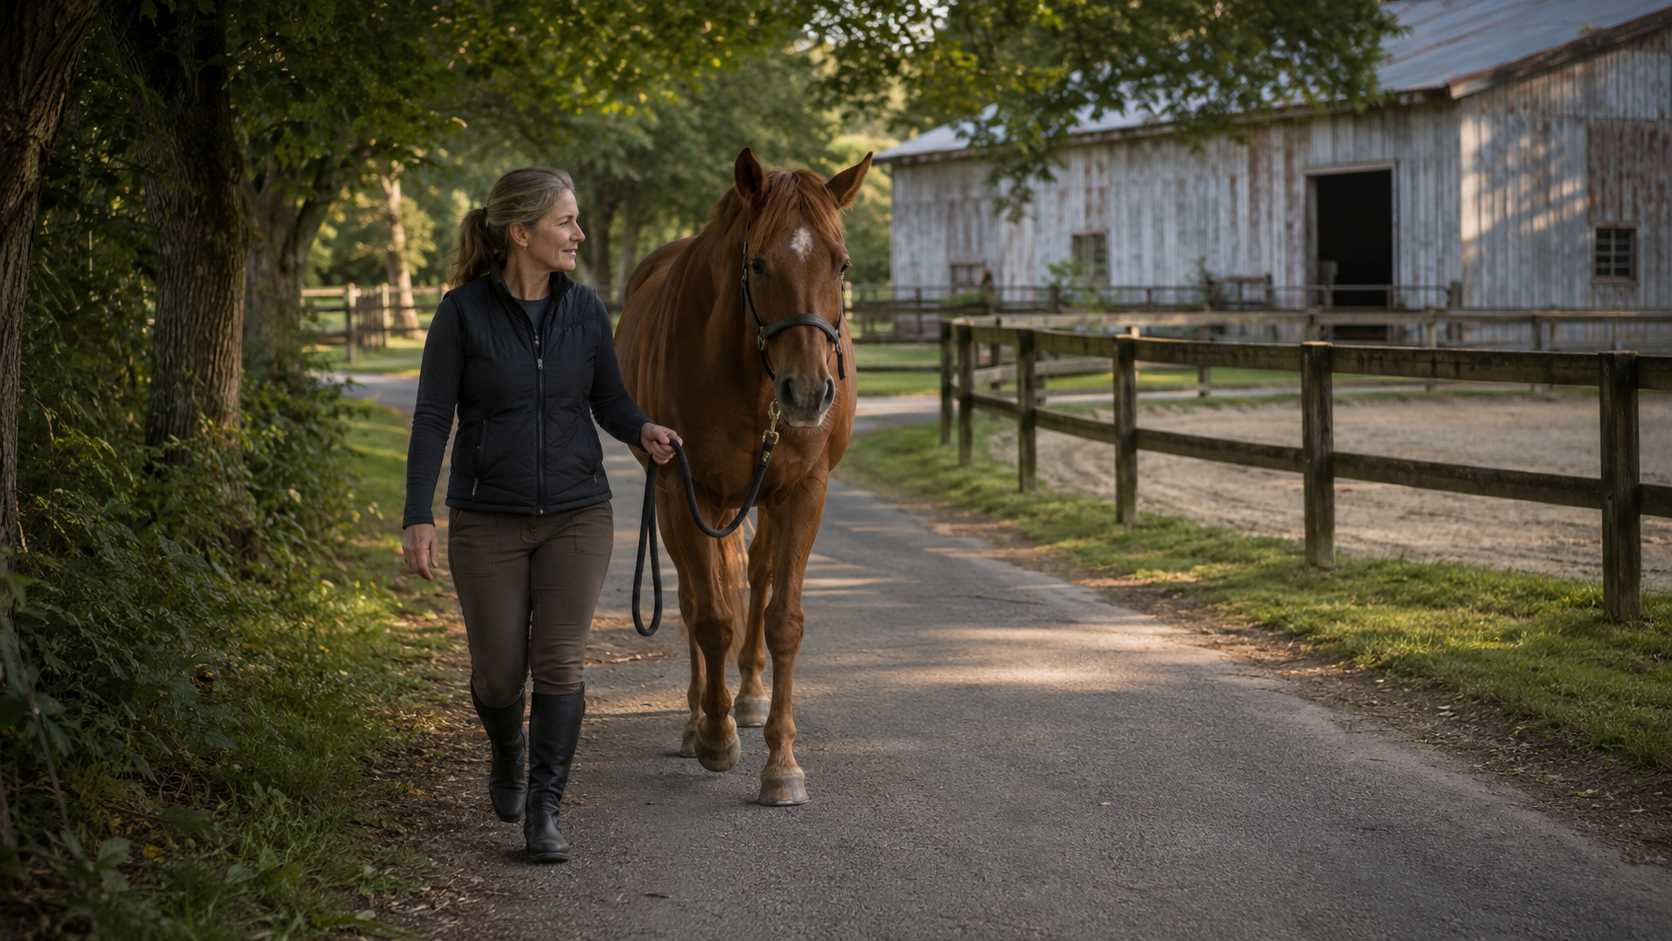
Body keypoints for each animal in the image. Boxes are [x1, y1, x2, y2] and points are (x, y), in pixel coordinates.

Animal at [615, 147, 872, 806]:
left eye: (841, 265)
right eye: (757, 264)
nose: (808, 392)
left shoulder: (802, 492)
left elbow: (784, 620)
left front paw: (781, 762)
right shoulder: (684, 490)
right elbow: (708, 616)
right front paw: (714, 734)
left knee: (755, 577)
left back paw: (750, 697)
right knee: (691, 598)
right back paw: (697, 717)